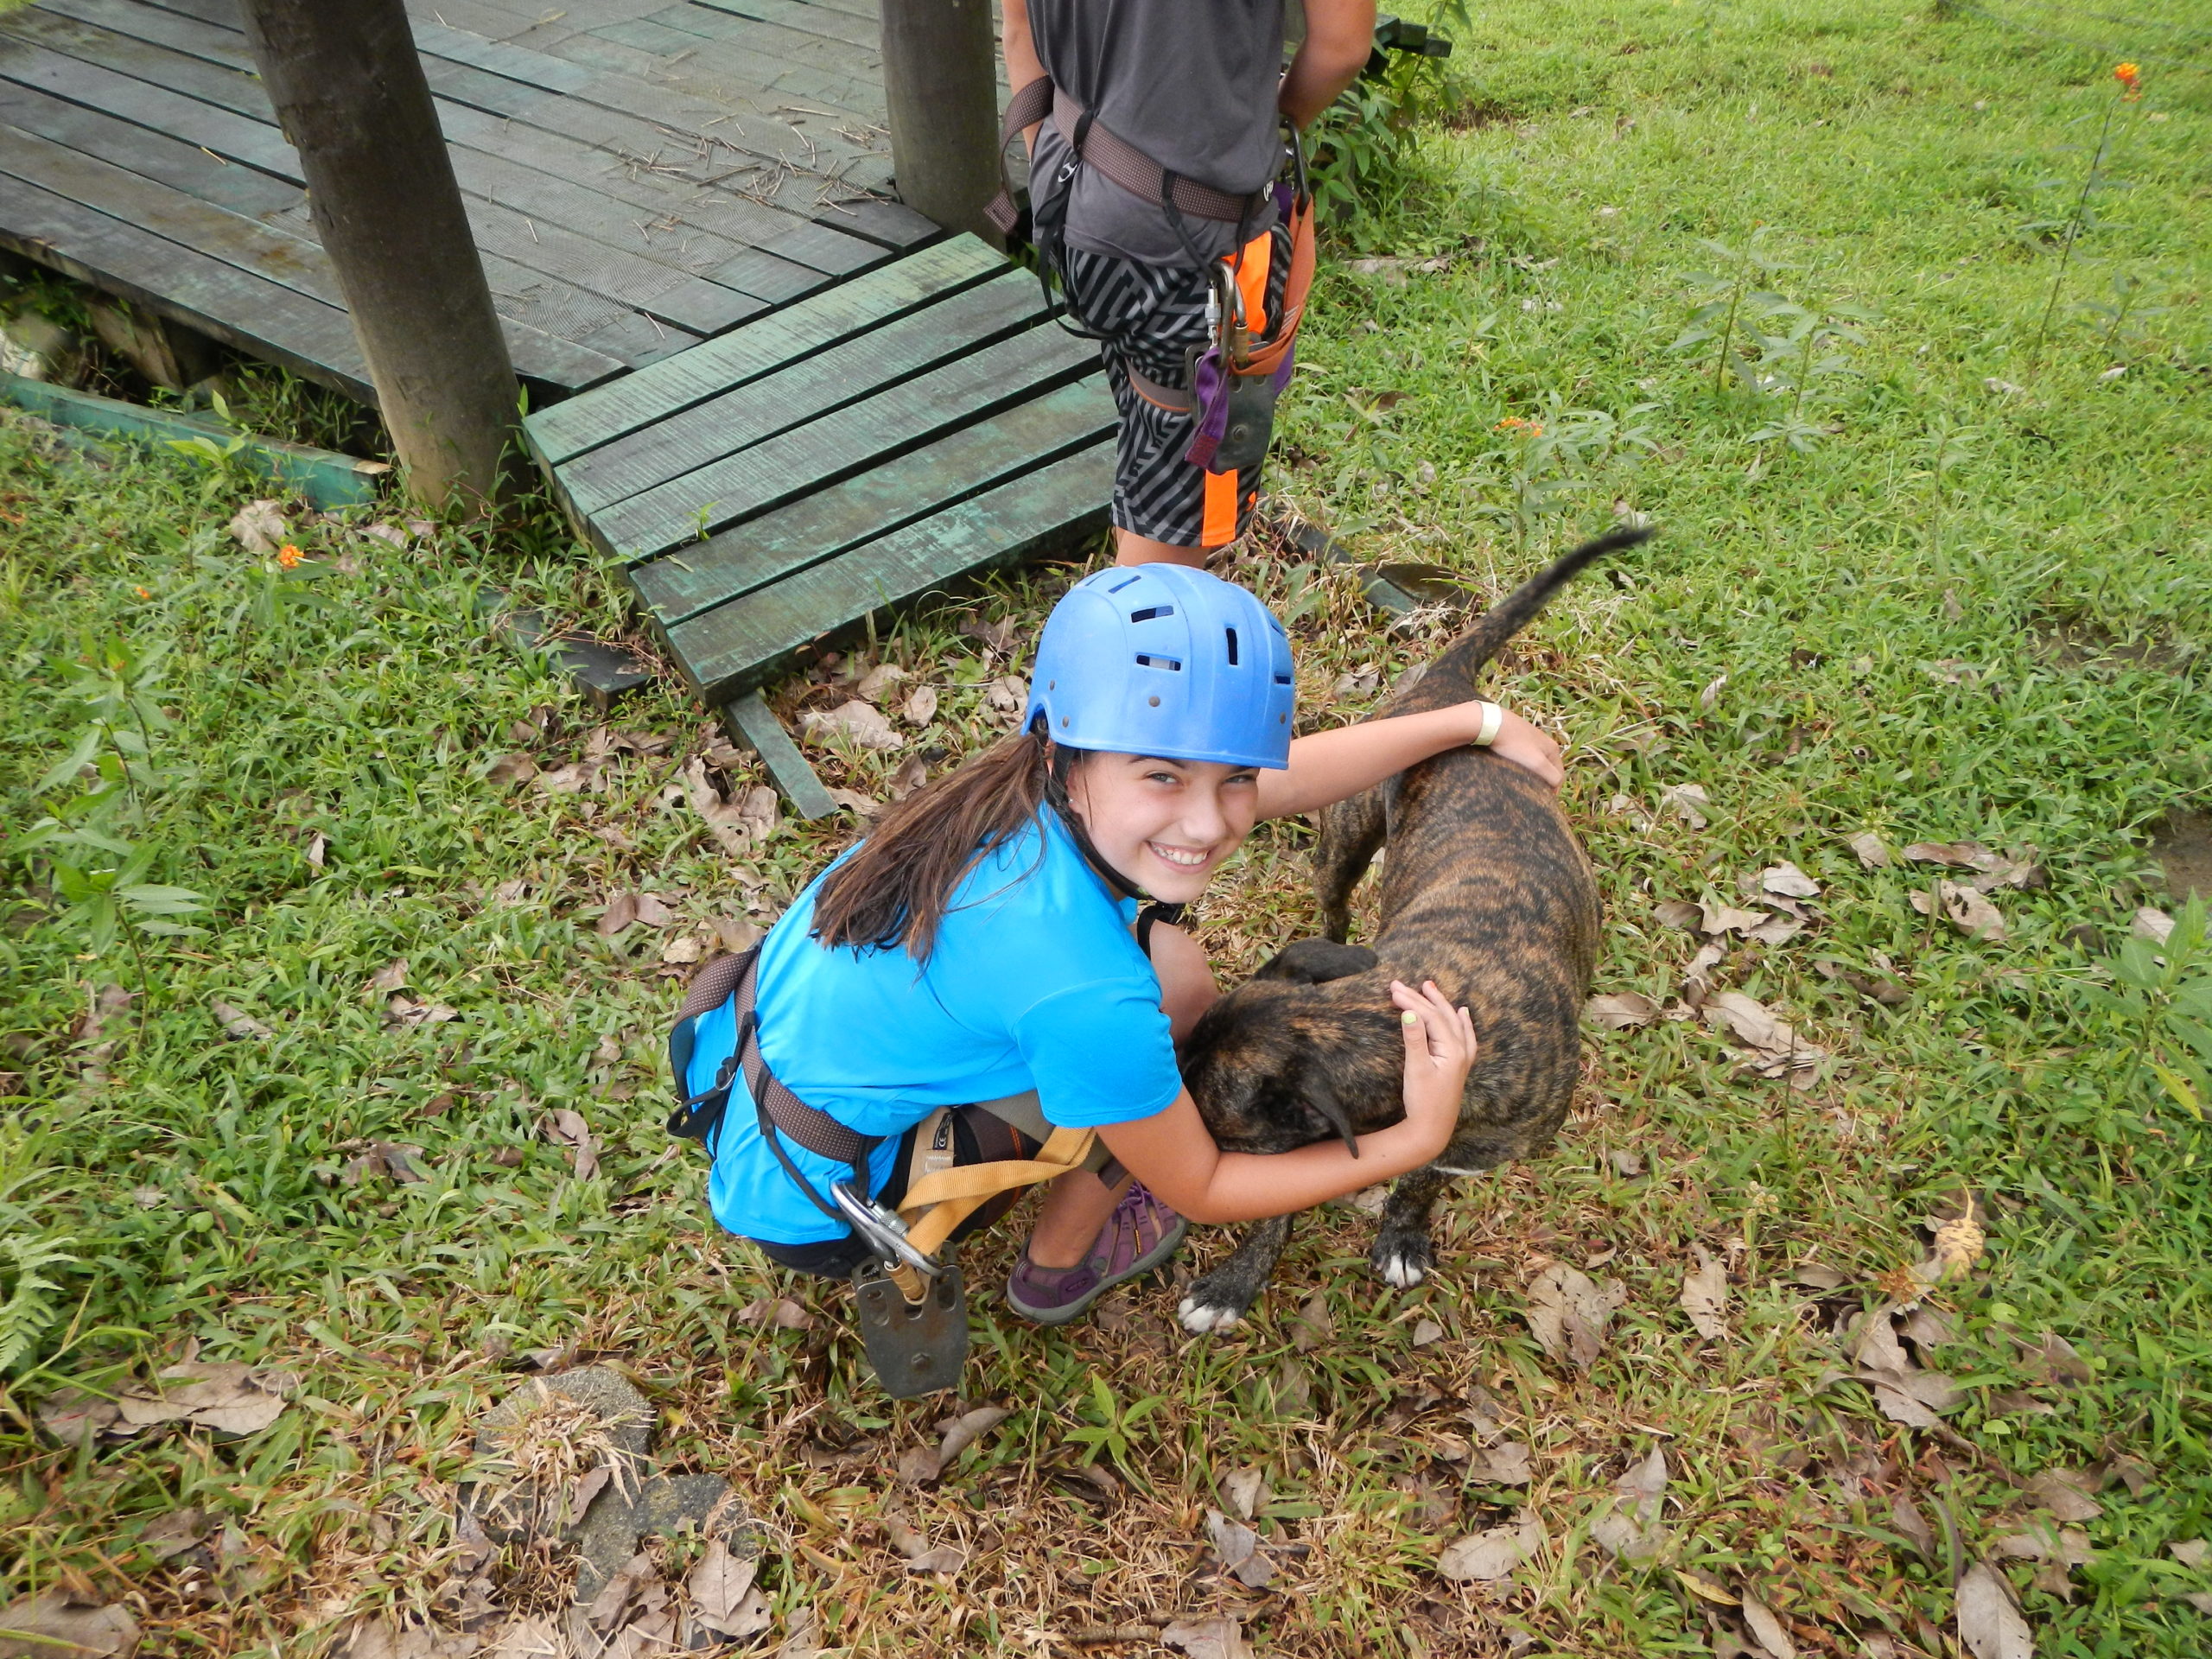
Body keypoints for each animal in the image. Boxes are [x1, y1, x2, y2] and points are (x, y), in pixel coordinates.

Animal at [1167, 532, 1654, 1336]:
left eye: (1217, 1132)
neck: (1384, 1015)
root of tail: (1449, 688)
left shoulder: (1471, 1147)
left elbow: (1423, 1176)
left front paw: (1401, 1232)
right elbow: (1278, 1208)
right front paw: (1238, 1280)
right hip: (1343, 844)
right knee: (1336, 907)